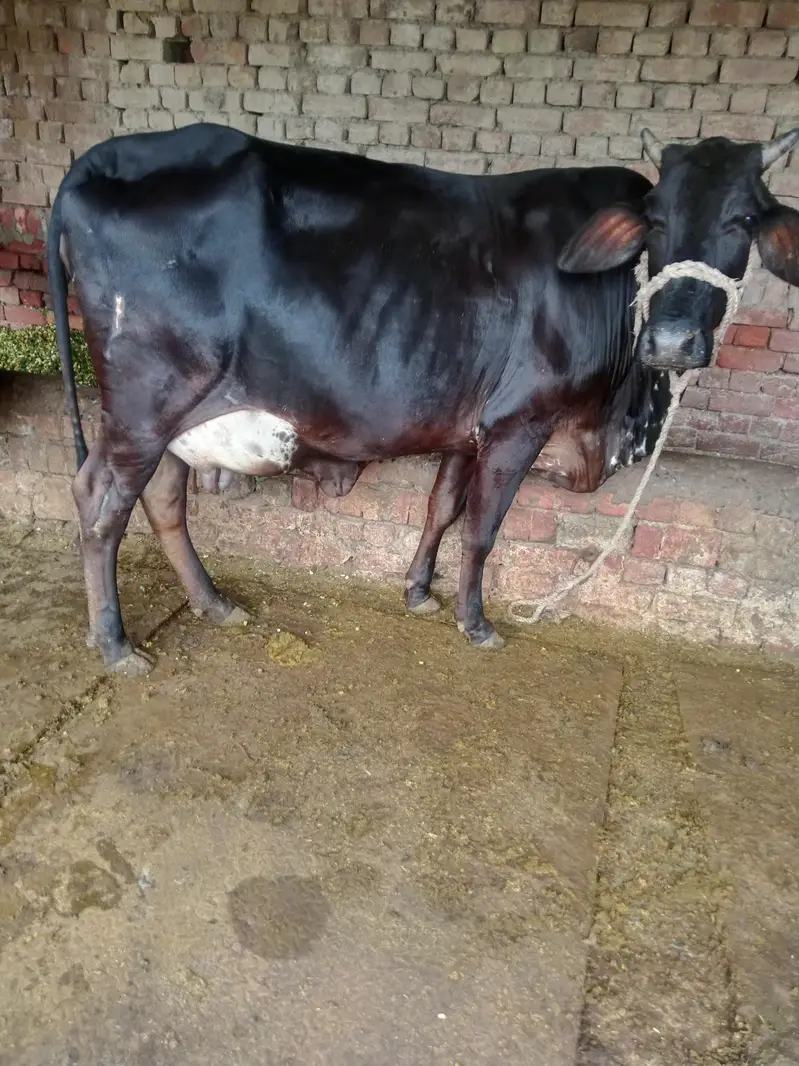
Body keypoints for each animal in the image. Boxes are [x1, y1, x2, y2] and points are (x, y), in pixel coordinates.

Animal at [47, 123, 799, 676]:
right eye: (656, 221)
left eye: (743, 219)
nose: (672, 340)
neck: (616, 417)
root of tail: (104, 157)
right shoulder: (519, 421)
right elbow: (483, 527)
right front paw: (475, 621)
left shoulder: (470, 423)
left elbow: (443, 506)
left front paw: (416, 590)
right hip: (144, 405)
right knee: (99, 503)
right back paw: (114, 644)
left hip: (178, 415)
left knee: (163, 500)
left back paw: (213, 604)